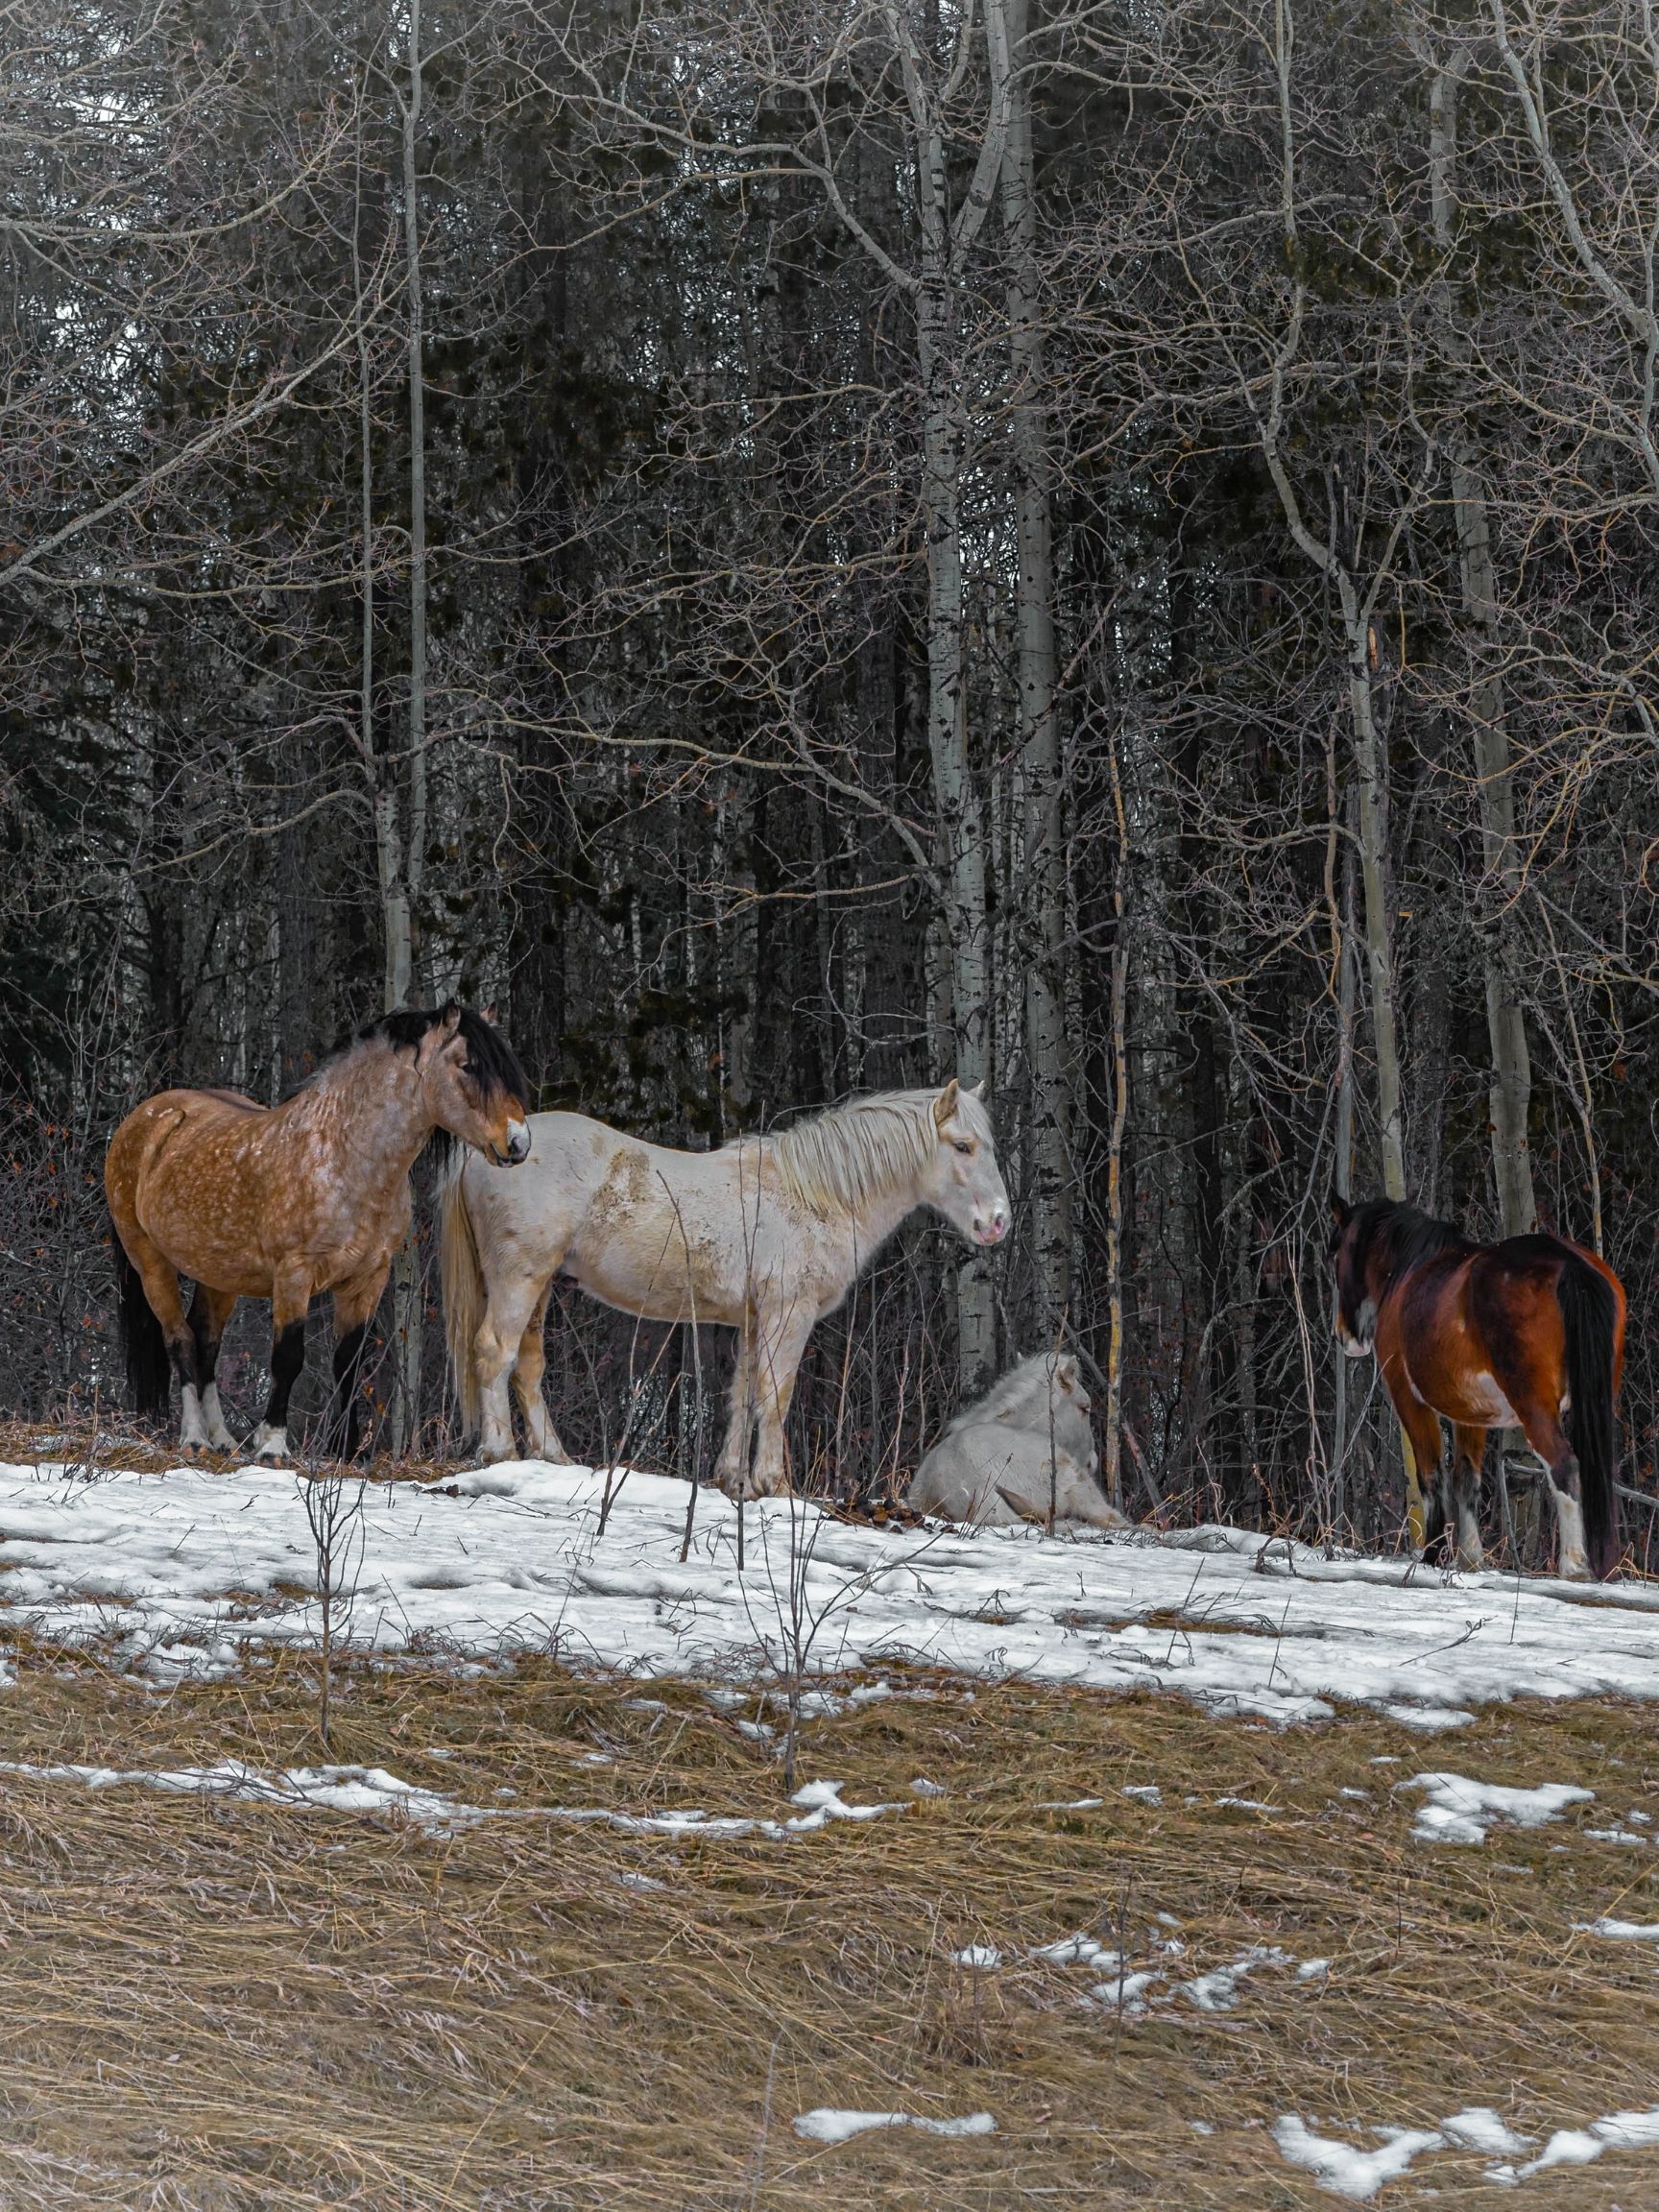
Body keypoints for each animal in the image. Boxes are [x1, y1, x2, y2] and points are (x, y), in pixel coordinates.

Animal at [107, 1008, 533, 1459]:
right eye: (468, 1066)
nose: (518, 1142)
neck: (342, 1156)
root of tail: (144, 1119)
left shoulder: (368, 1280)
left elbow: (348, 1362)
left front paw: (346, 1449)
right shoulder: (294, 1275)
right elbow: (288, 1357)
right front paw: (273, 1445)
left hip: (218, 1275)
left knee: (206, 1343)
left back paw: (222, 1439)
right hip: (150, 1263)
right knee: (180, 1340)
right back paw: (194, 1438)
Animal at [442, 1079, 1013, 1495]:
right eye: (963, 1146)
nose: (998, 1223)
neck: (817, 1194)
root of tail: (493, 1147)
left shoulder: (755, 1318)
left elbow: (743, 1393)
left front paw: (734, 1479)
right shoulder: (788, 1312)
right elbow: (775, 1395)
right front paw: (773, 1483)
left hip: (539, 1285)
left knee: (527, 1366)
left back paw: (553, 1457)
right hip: (519, 1278)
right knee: (494, 1352)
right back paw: (499, 1452)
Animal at [1335, 1203, 1627, 1583]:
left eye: (1336, 1254)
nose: (1344, 1337)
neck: (1408, 1274)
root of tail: (1569, 1263)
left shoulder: (1409, 1400)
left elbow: (1430, 1475)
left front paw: (1433, 1555)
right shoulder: (1470, 1414)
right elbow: (1466, 1480)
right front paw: (1470, 1559)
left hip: (1534, 1407)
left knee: (1564, 1465)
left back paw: (1573, 1565)